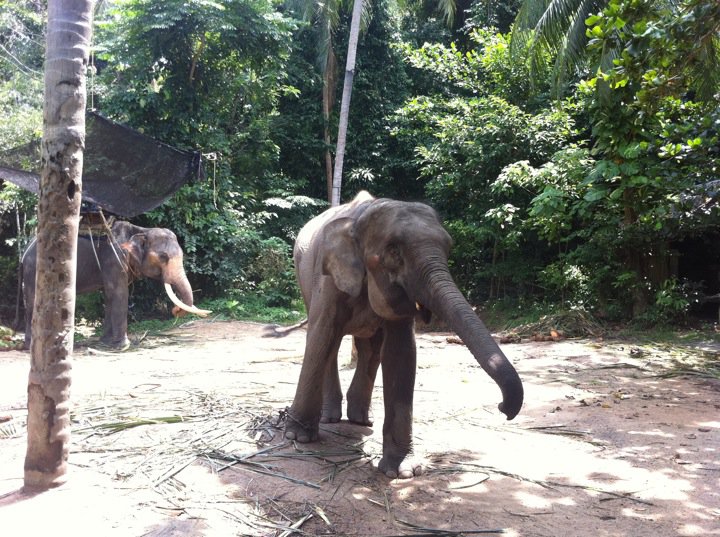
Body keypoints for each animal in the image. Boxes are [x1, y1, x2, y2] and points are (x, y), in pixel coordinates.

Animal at [22, 220, 208, 350]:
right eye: (163, 257)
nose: (175, 310)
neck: (141, 230)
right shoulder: (114, 258)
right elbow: (119, 293)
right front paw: (122, 346)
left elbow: (110, 295)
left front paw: (106, 342)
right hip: (35, 272)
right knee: (33, 302)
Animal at [282, 192, 524, 478]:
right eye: (393, 251)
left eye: (448, 248)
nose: (502, 409)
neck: (365, 214)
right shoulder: (327, 279)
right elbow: (322, 335)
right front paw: (298, 437)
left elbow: (401, 352)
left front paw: (402, 471)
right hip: (304, 278)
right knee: (332, 344)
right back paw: (329, 418)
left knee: (370, 349)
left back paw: (361, 420)